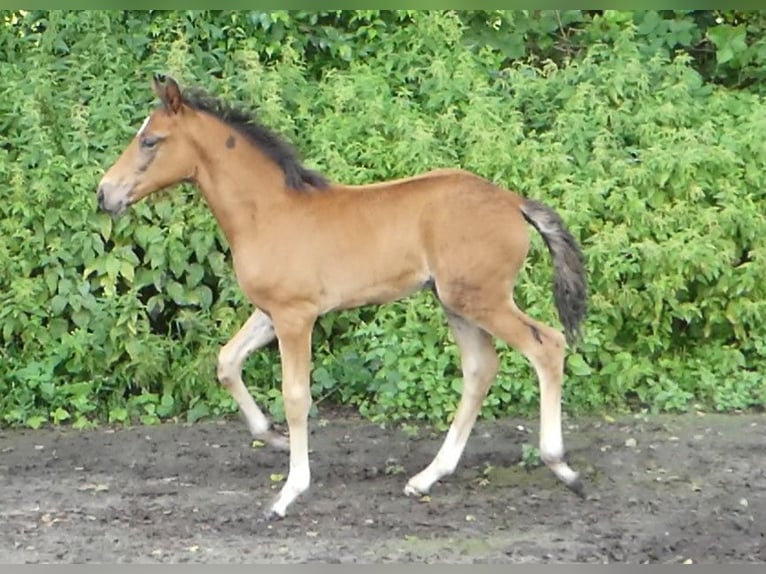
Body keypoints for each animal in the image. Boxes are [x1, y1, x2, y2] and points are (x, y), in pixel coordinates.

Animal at [96, 74, 588, 520]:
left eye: (151, 141)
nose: (104, 194)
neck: (267, 212)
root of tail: (513, 202)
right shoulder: (272, 312)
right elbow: (227, 361)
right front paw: (270, 434)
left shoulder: (296, 316)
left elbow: (296, 396)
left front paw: (288, 493)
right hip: (456, 303)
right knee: (480, 369)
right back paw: (426, 477)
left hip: (483, 299)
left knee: (547, 346)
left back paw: (561, 466)